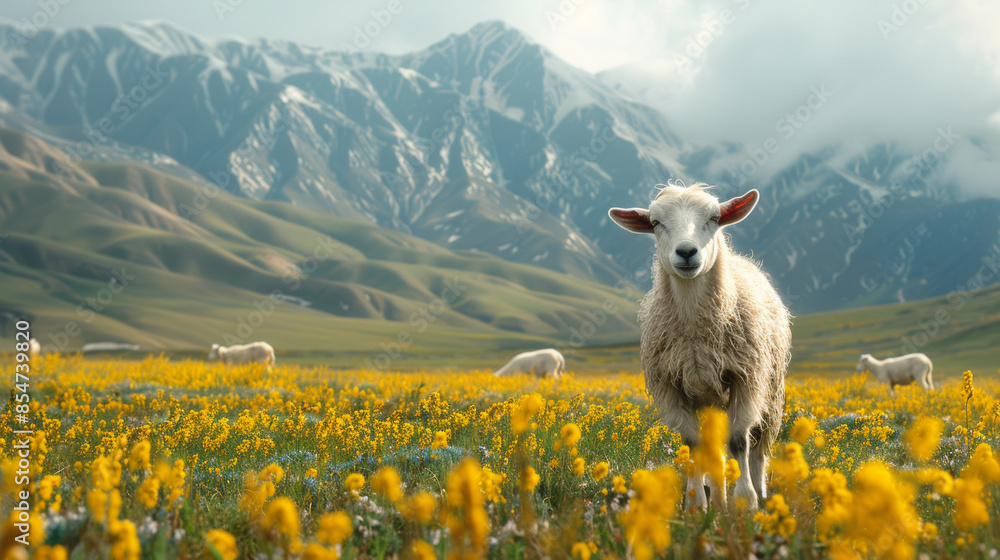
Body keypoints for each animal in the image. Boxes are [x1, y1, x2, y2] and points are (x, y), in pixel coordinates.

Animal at [604, 183, 792, 508]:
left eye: (714, 218)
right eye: (655, 222)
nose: (686, 252)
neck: (696, 332)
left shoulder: (745, 379)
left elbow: (738, 440)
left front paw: (746, 500)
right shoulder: (672, 385)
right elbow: (692, 444)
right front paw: (695, 503)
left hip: (771, 389)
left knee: (758, 446)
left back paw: (759, 491)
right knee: (713, 450)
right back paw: (717, 498)